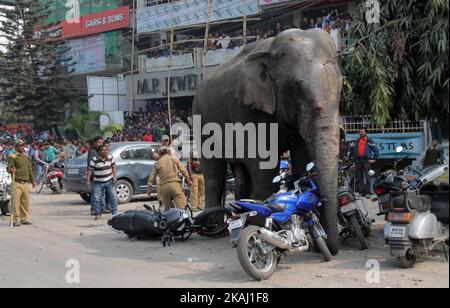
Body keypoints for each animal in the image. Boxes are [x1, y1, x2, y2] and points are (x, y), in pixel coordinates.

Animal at [192, 28, 342, 255]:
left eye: (342, 89)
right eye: (296, 88)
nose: (328, 248)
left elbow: (301, 159)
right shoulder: (246, 108)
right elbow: (264, 168)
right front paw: (264, 229)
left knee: (240, 171)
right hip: (201, 117)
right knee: (213, 172)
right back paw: (216, 227)